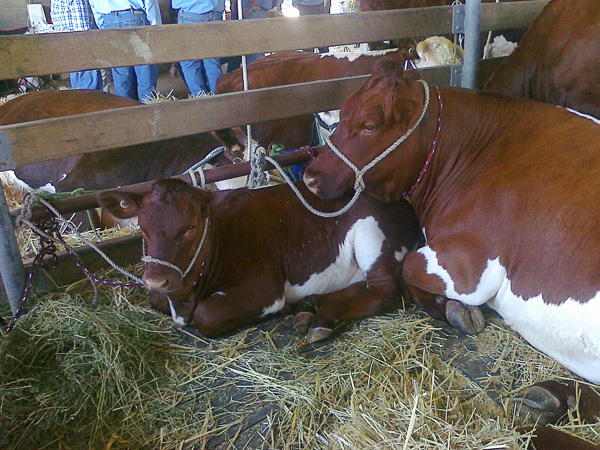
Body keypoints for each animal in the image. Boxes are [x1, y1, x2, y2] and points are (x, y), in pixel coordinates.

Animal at [302, 59, 600, 426]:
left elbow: (406, 268)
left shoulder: (470, 269)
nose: (310, 176)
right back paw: (554, 399)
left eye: (369, 125)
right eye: (342, 113)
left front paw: (452, 309)